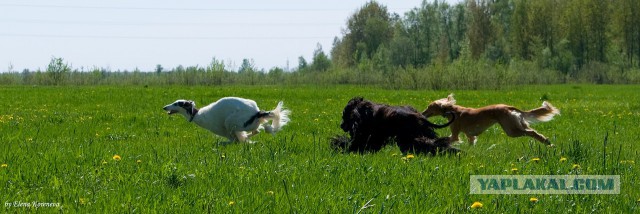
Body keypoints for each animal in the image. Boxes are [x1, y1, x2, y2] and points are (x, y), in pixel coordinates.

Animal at [162, 98, 290, 143]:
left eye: (177, 103)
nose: (164, 107)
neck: (198, 115)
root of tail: (257, 112)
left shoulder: (228, 132)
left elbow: (233, 140)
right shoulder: (229, 133)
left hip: (230, 121)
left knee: (257, 130)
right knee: (257, 130)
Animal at [424, 94, 560, 146]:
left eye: (429, 107)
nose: (423, 113)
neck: (452, 110)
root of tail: (508, 106)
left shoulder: (455, 134)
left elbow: (447, 138)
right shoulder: (470, 135)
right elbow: (471, 142)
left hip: (511, 130)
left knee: (531, 132)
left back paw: (547, 142)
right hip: (516, 125)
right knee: (531, 131)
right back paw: (547, 142)